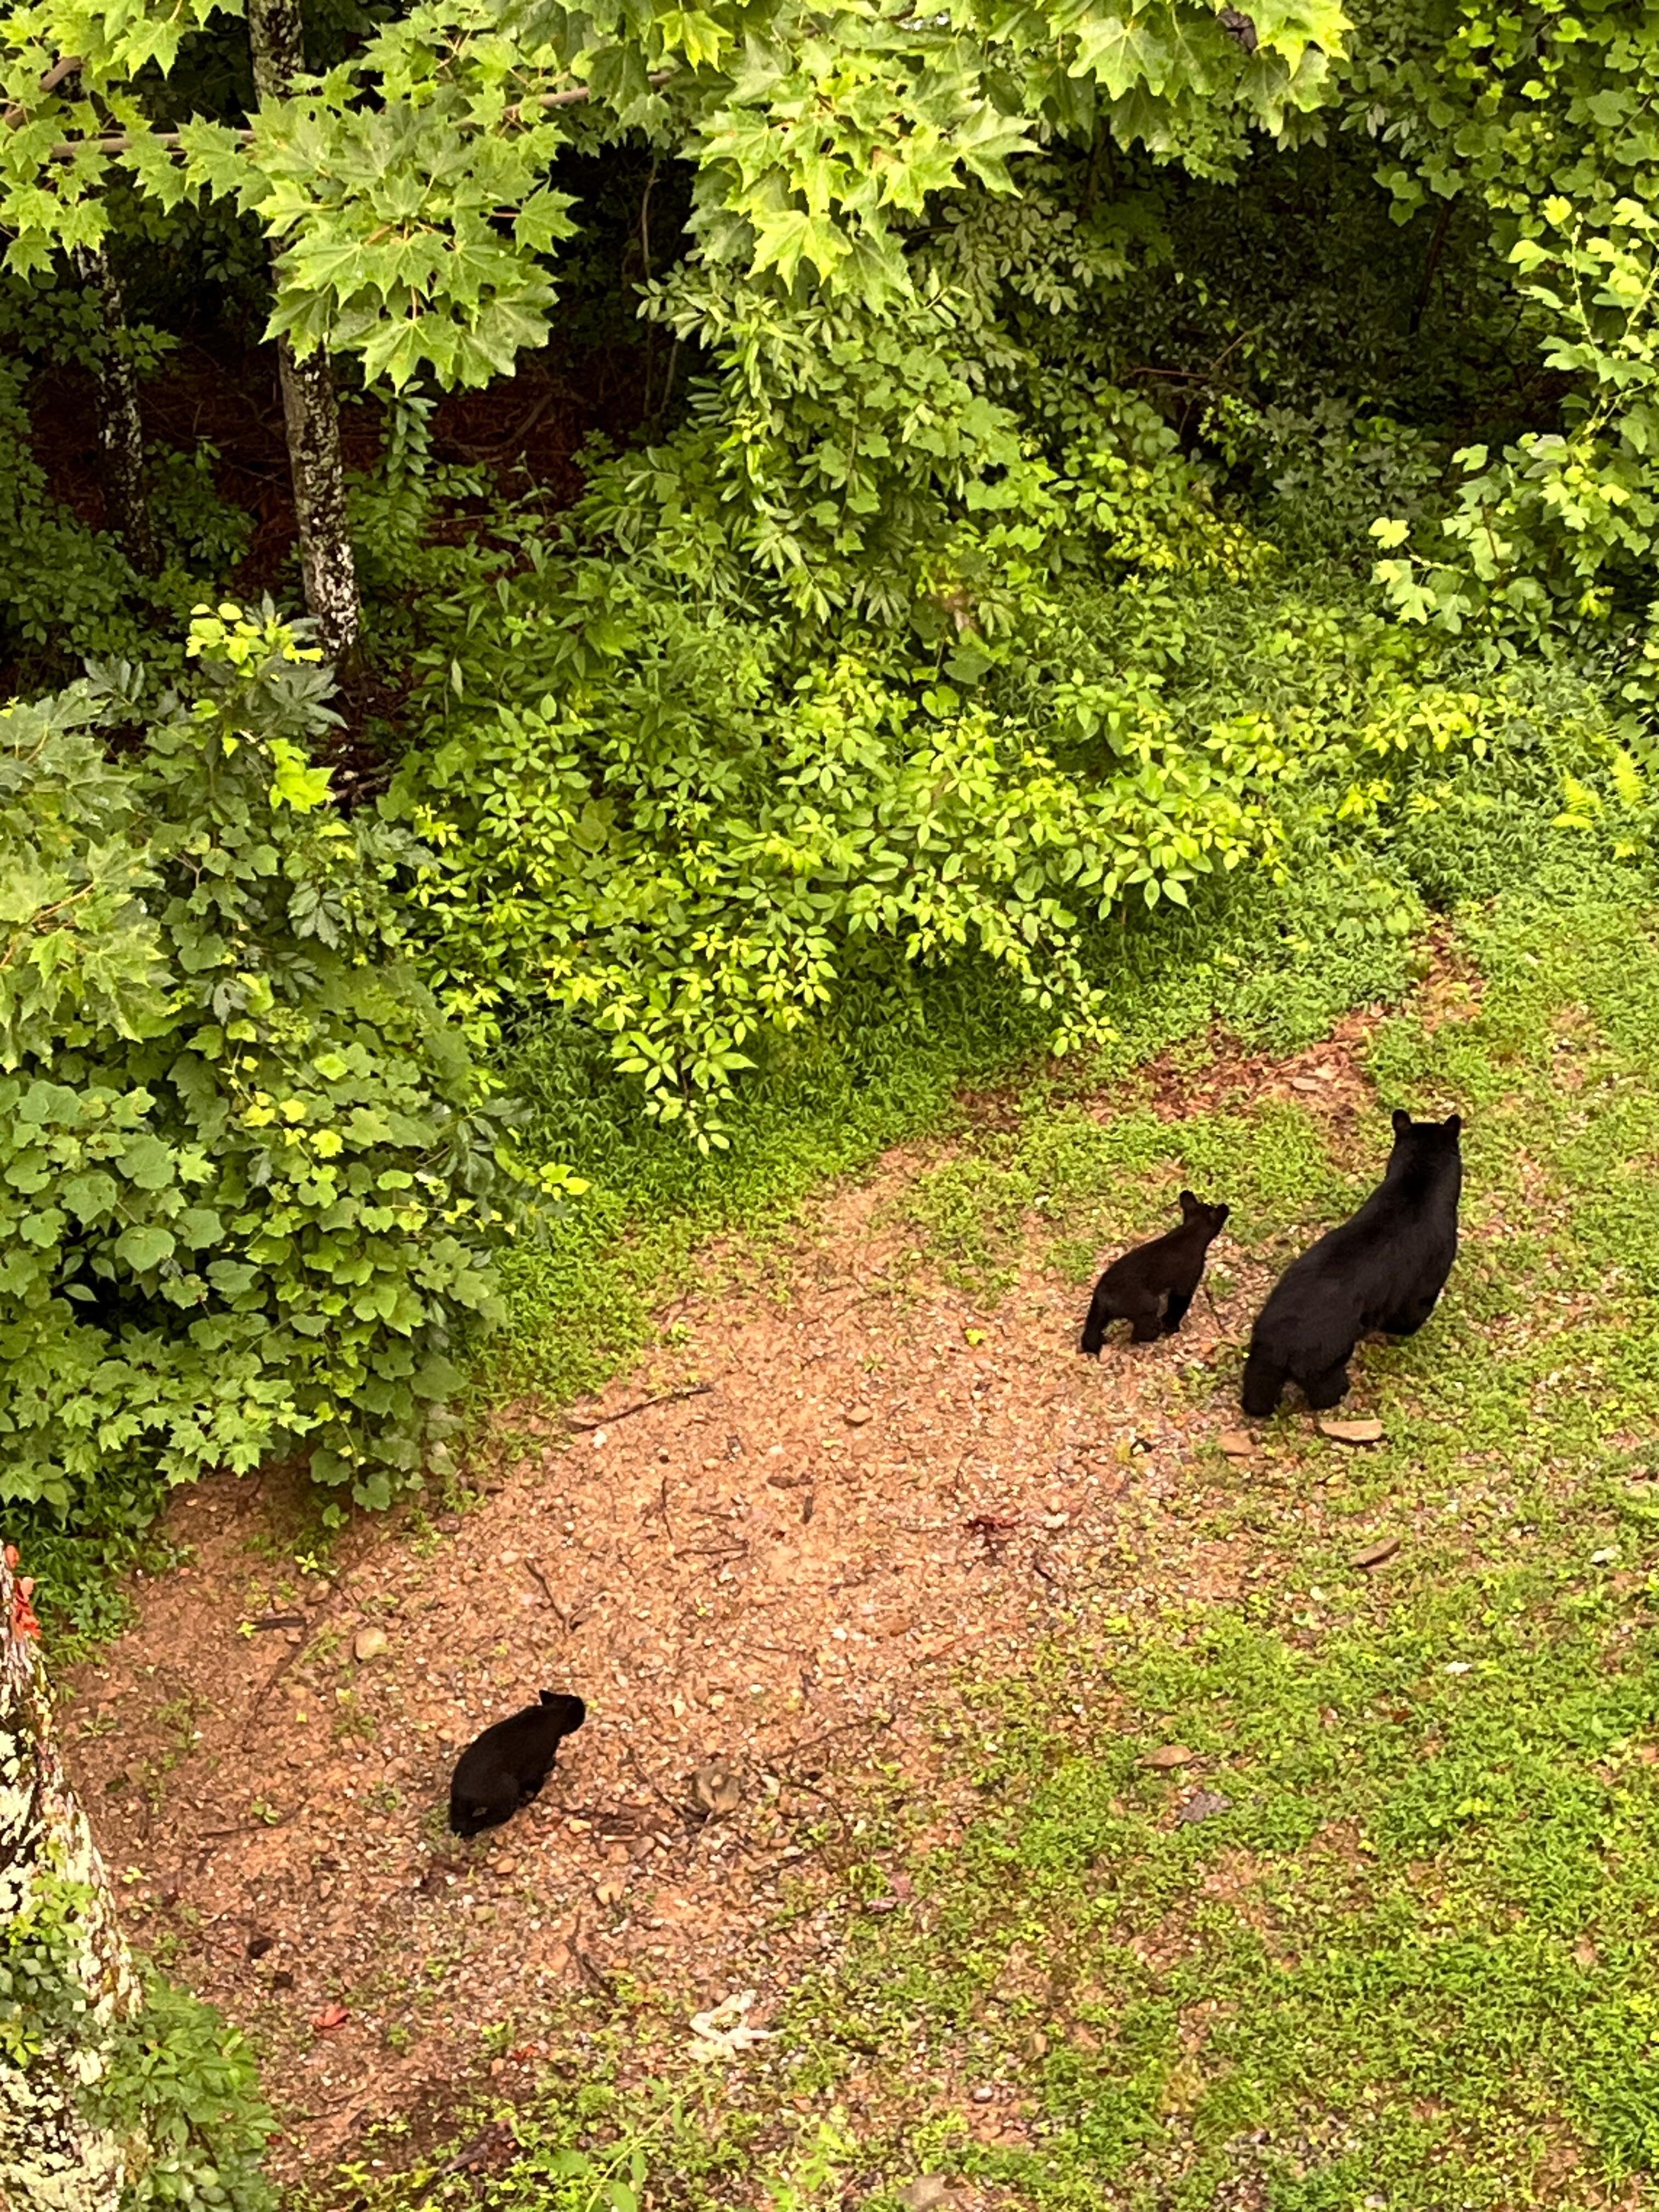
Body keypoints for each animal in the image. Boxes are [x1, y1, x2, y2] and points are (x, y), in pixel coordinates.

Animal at [448, 1690, 586, 1838]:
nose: (582, 1704)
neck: (550, 1713)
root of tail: (459, 1795)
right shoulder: (537, 1765)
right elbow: (540, 1779)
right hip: (509, 1787)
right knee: (500, 1814)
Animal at [1080, 1191, 1231, 1355]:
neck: (1191, 1232)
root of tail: (1102, 1297)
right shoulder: (1184, 1288)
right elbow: (1177, 1309)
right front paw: (1172, 1328)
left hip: (1099, 1316)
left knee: (1091, 1334)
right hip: (1149, 1305)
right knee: (1140, 1333)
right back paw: (1155, 1333)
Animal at [1240, 1108, 1463, 1418]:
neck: (1417, 1183)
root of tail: (1278, 1341)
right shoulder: (1424, 1287)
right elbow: (1412, 1316)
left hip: (1261, 1365)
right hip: (1327, 1363)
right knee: (1325, 1392)